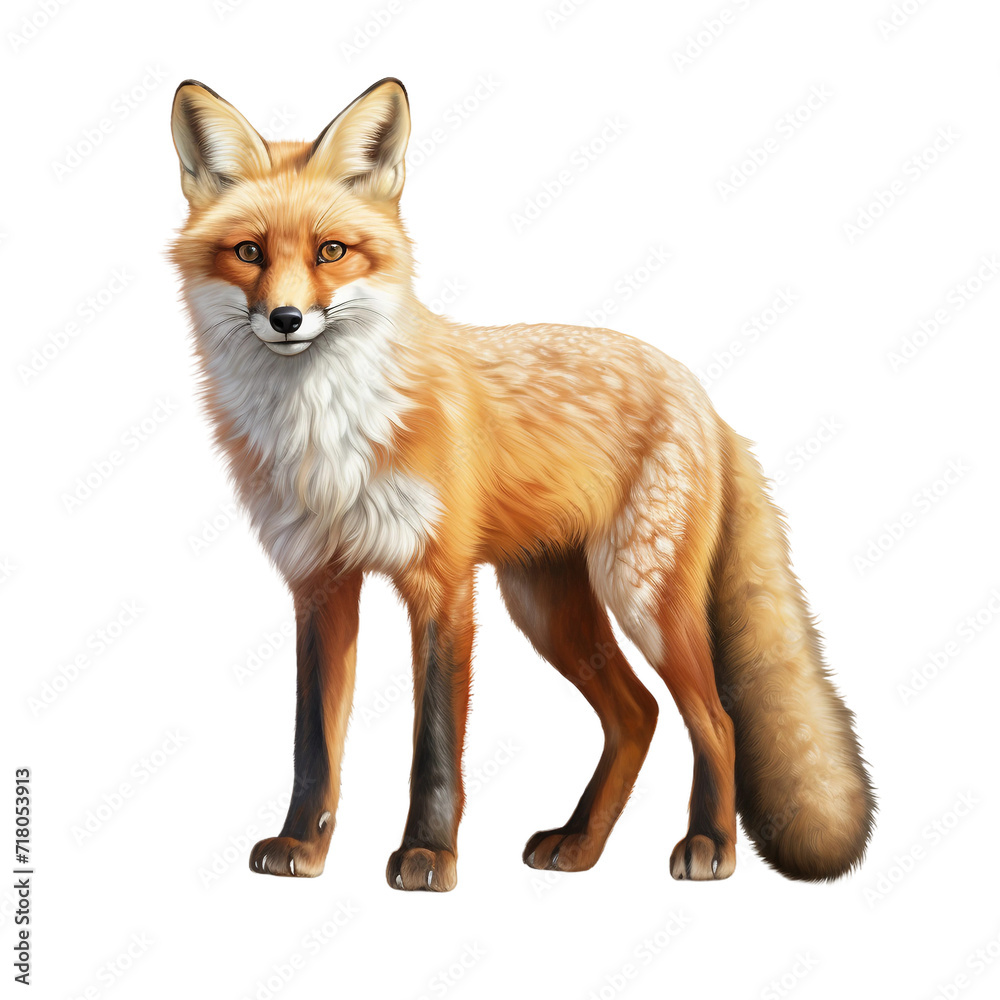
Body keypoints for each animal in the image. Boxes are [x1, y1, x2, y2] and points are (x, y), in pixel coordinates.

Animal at [169, 77, 875, 891]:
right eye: (249, 252)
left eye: (332, 251)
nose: (286, 318)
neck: (326, 434)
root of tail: (704, 398)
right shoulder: (319, 583)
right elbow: (313, 743)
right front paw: (303, 847)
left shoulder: (442, 582)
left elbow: (435, 746)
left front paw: (428, 855)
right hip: (548, 608)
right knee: (637, 715)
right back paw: (580, 844)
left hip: (640, 595)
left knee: (716, 718)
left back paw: (710, 845)